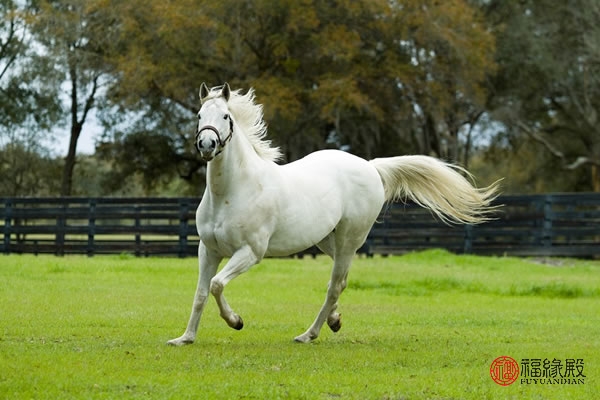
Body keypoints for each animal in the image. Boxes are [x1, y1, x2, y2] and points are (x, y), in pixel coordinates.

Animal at [168, 83, 496, 346]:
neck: (232, 191)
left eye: (226, 117)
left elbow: (216, 285)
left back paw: (308, 334)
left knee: (334, 284)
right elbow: (201, 293)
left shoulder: (250, 252)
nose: (206, 144)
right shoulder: (207, 250)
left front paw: (236, 321)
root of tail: (370, 166)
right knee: (341, 281)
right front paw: (185, 338)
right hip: (329, 240)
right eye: (199, 116)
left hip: (350, 240)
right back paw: (334, 320)